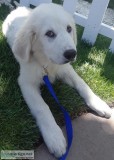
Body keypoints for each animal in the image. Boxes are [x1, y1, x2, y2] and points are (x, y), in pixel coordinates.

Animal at [2, 2, 112, 158]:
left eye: (69, 29)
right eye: (49, 33)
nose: (72, 54)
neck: (48, 63)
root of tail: (18, 8)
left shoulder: (66, 70)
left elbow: (82, 84)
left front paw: (98, 103)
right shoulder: (26, 82)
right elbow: (42, 107)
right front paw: (54, 136)